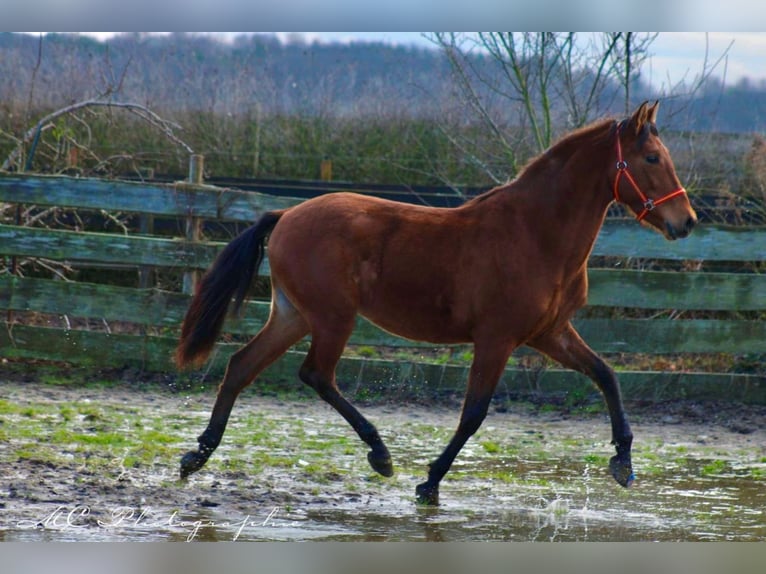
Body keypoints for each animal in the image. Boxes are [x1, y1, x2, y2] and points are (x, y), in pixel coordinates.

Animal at [177, 101, 700, 506]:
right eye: (652, 157)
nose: (688, 221)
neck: (535, 234)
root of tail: (287, 214)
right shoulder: (497, 339)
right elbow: (474, 413)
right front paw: (428, 483)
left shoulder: (550, 333)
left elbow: (607, 375)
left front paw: (623, 462)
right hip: (331, 318)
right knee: (316, 375)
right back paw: (381, 455)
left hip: (294, 315)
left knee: (241, 366)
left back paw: (197, 456)